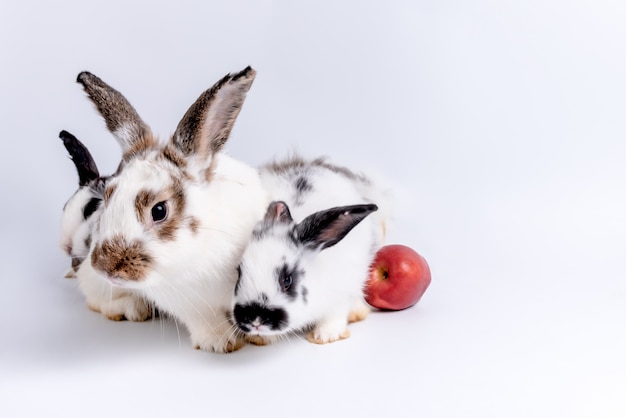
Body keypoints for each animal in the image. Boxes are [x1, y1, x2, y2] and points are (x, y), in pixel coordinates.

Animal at [72, 67, 266, 352]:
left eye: (159, 210)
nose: (107, 268)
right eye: (107, 196)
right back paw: (131, 308)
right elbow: (206, 320)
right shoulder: (187, 302)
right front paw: (221, 343)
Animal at [230, 155, 386, 344]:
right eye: (239, 272)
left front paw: (325, 336)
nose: (255, 320)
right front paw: (258, 339)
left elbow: (335, 314)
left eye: (287, 280)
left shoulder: (344, 290)